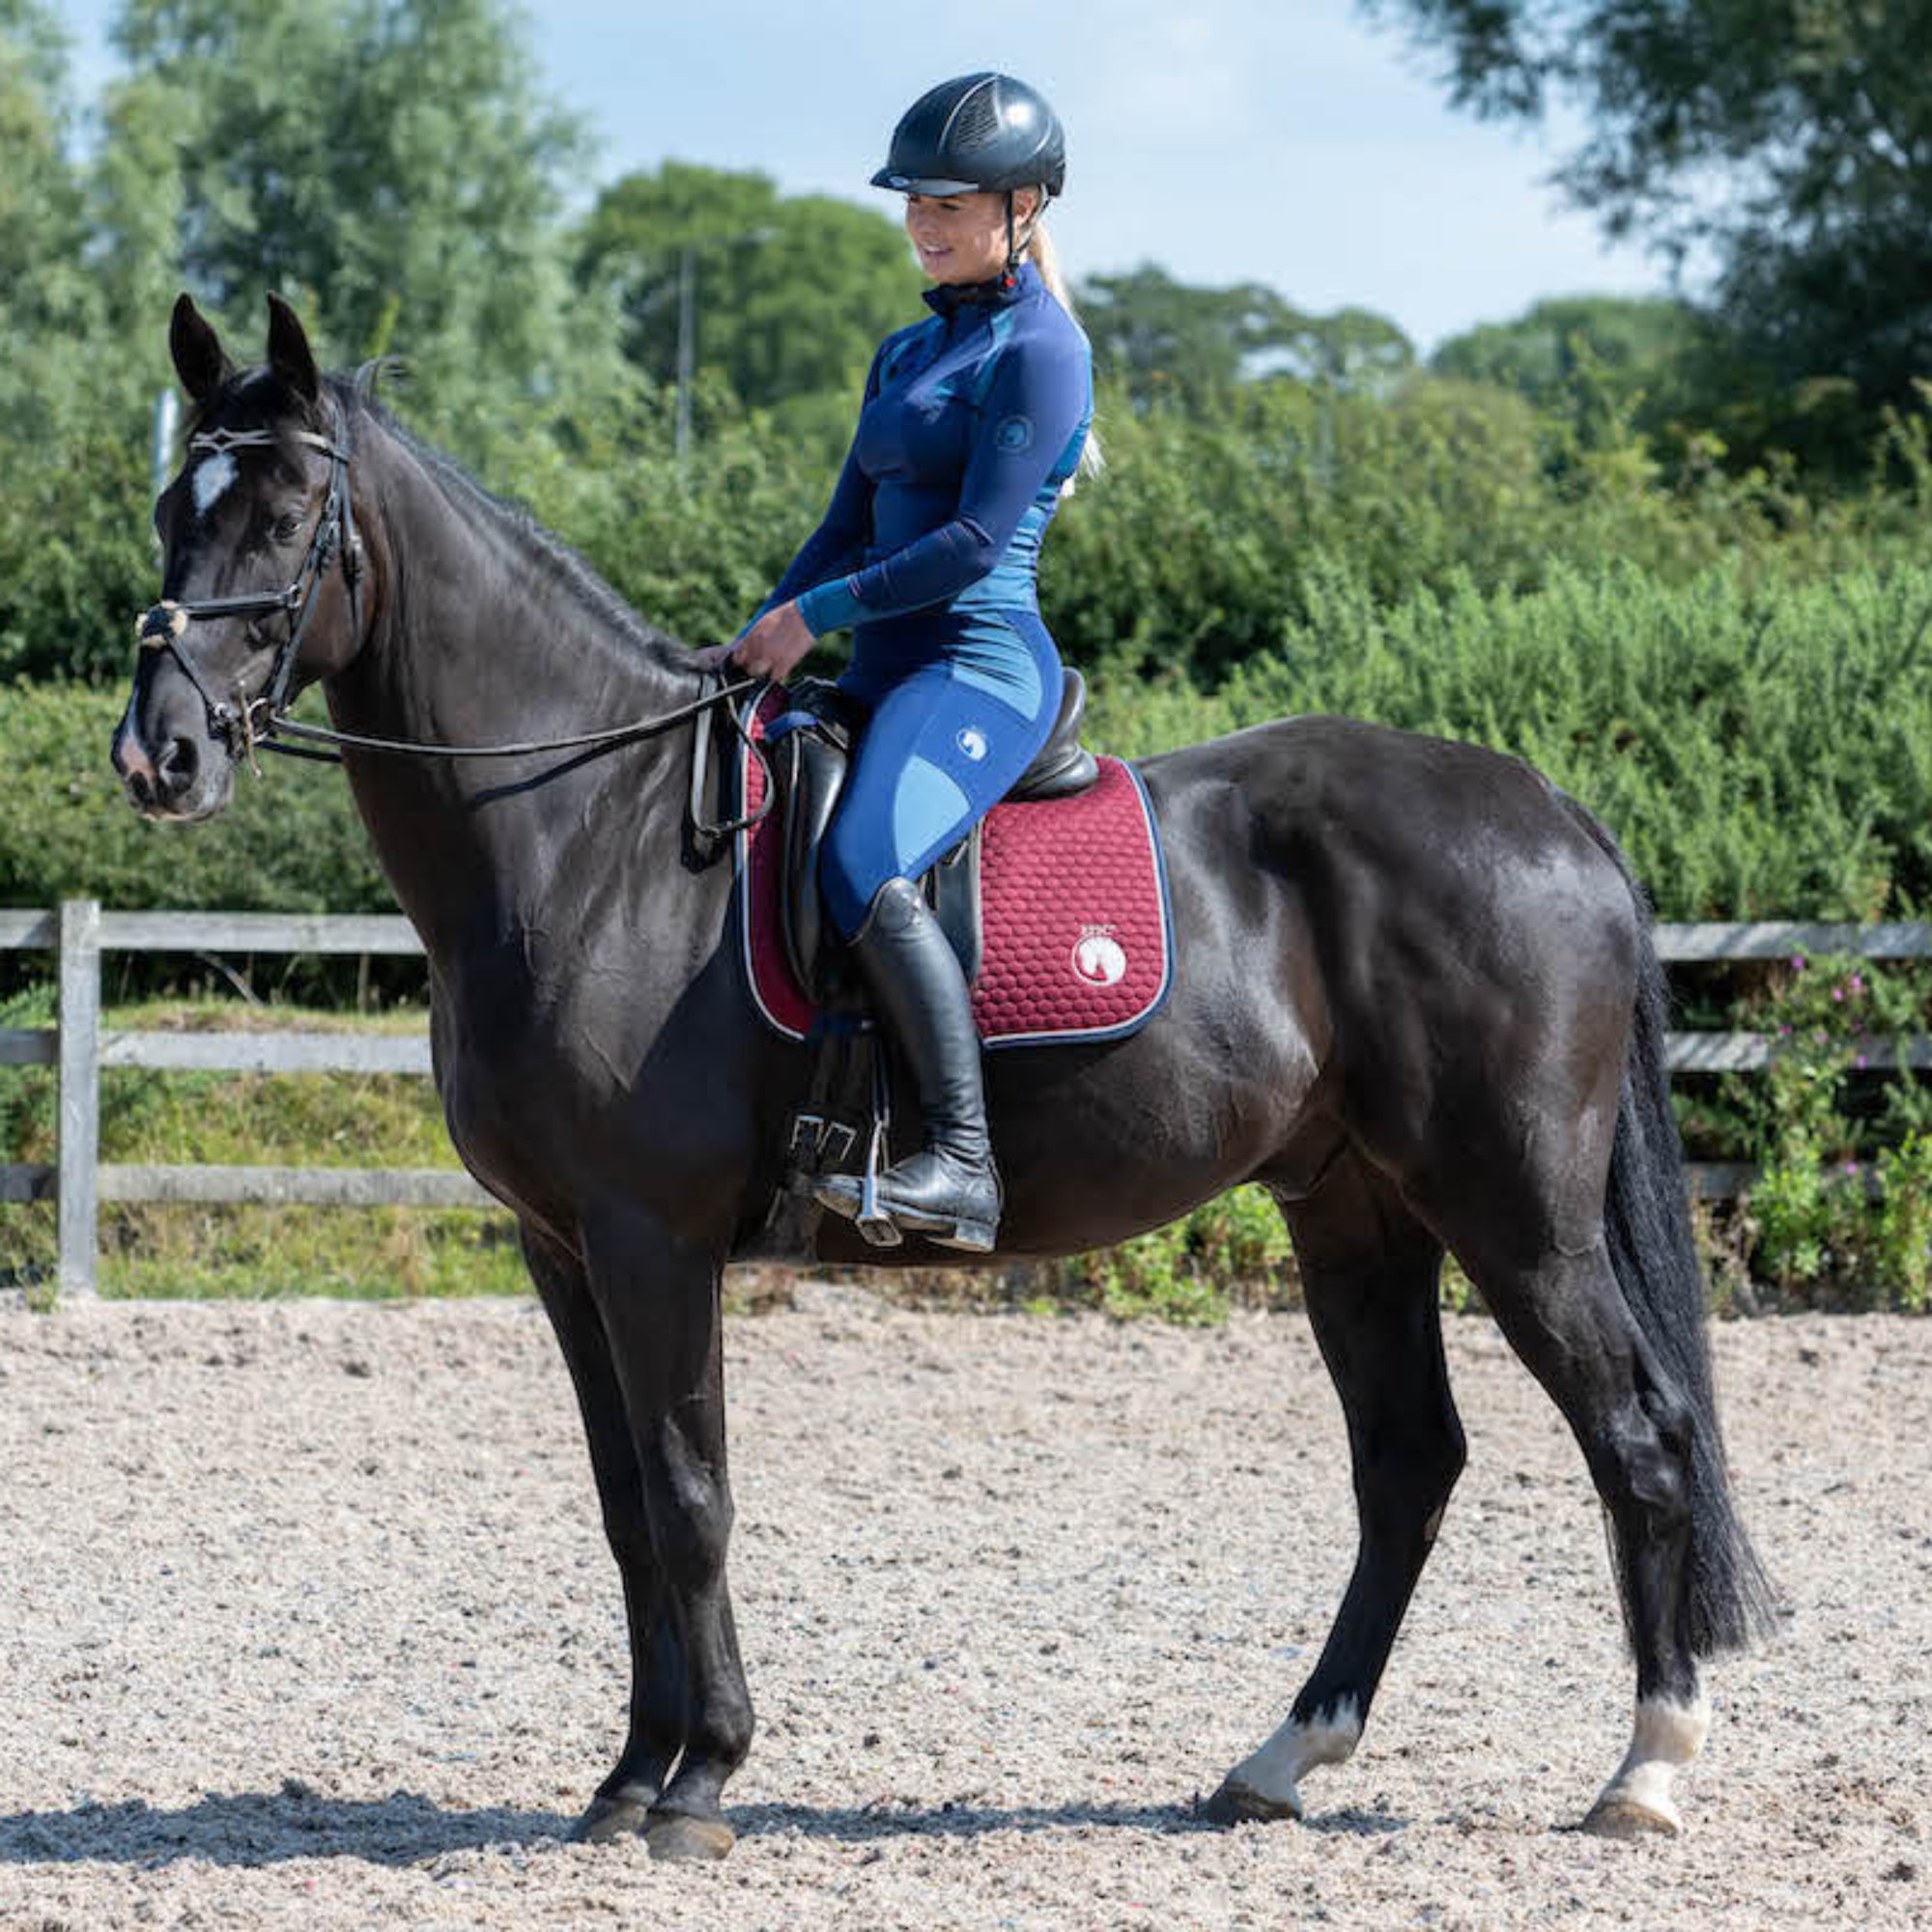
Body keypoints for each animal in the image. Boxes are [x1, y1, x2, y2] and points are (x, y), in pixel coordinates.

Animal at [110, 293, 1777, 1861]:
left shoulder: (653, 1240)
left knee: (1641, 1438)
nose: (159, 756)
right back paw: (1282, 1761)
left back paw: (1647, 1771)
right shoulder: (560, 1247)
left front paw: (701, 1780)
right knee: (1409, 1462)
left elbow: (693, 1496)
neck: (592, 832)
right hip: (1354, 1210)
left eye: (284, 517)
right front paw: (625, 1779)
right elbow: (627, 1509)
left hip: (1513, 1211)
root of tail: (1547, 806)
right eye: (172, 505)